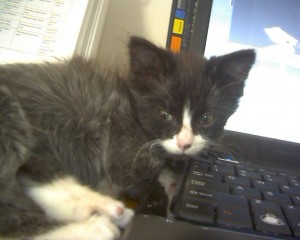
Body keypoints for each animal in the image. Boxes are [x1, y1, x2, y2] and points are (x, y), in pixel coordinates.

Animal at [0, 36, 255, 239]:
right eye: (164, 114)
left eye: (206, 118)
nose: (185, 143)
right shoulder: (121, 149)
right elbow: (145, 182)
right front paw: (158, 201)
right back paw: (97, 224)